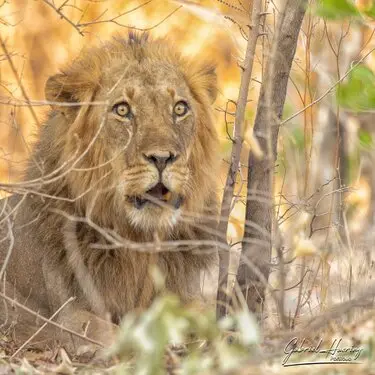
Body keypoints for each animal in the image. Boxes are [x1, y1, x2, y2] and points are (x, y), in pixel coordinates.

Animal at [0, 33, 220, 352]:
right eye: (122, 110)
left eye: (180, 108)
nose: (162, 158)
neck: (137, 242)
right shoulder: (64, 315)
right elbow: (110, 334)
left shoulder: (186, 294)